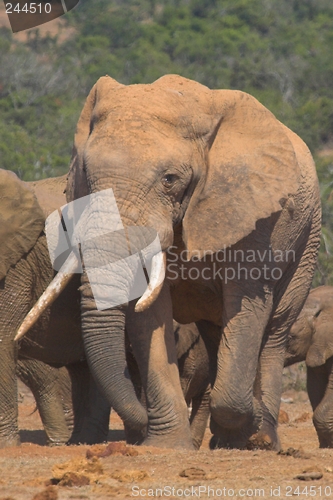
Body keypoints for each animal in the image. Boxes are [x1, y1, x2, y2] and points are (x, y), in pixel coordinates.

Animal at [22, 76, 320, 452]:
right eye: (86, 175)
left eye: (170, 179)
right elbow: (149, 316)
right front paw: (167, 445)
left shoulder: (254, 216)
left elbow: (247, 303)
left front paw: (252, 424)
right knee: (216, 330)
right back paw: (230, 438)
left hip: (306, 237)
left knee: (275, 328)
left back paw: (262, 437)